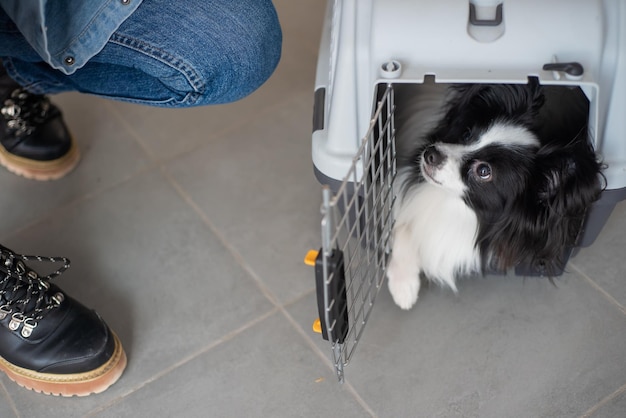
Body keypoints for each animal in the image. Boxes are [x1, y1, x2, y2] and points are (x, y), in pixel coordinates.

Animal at [388, 80, 604, 308]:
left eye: (484, 171)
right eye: (467, 134)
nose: (430, 154)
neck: (451, 203)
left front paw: (403, 286)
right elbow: (402, 225)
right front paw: (403, 284)